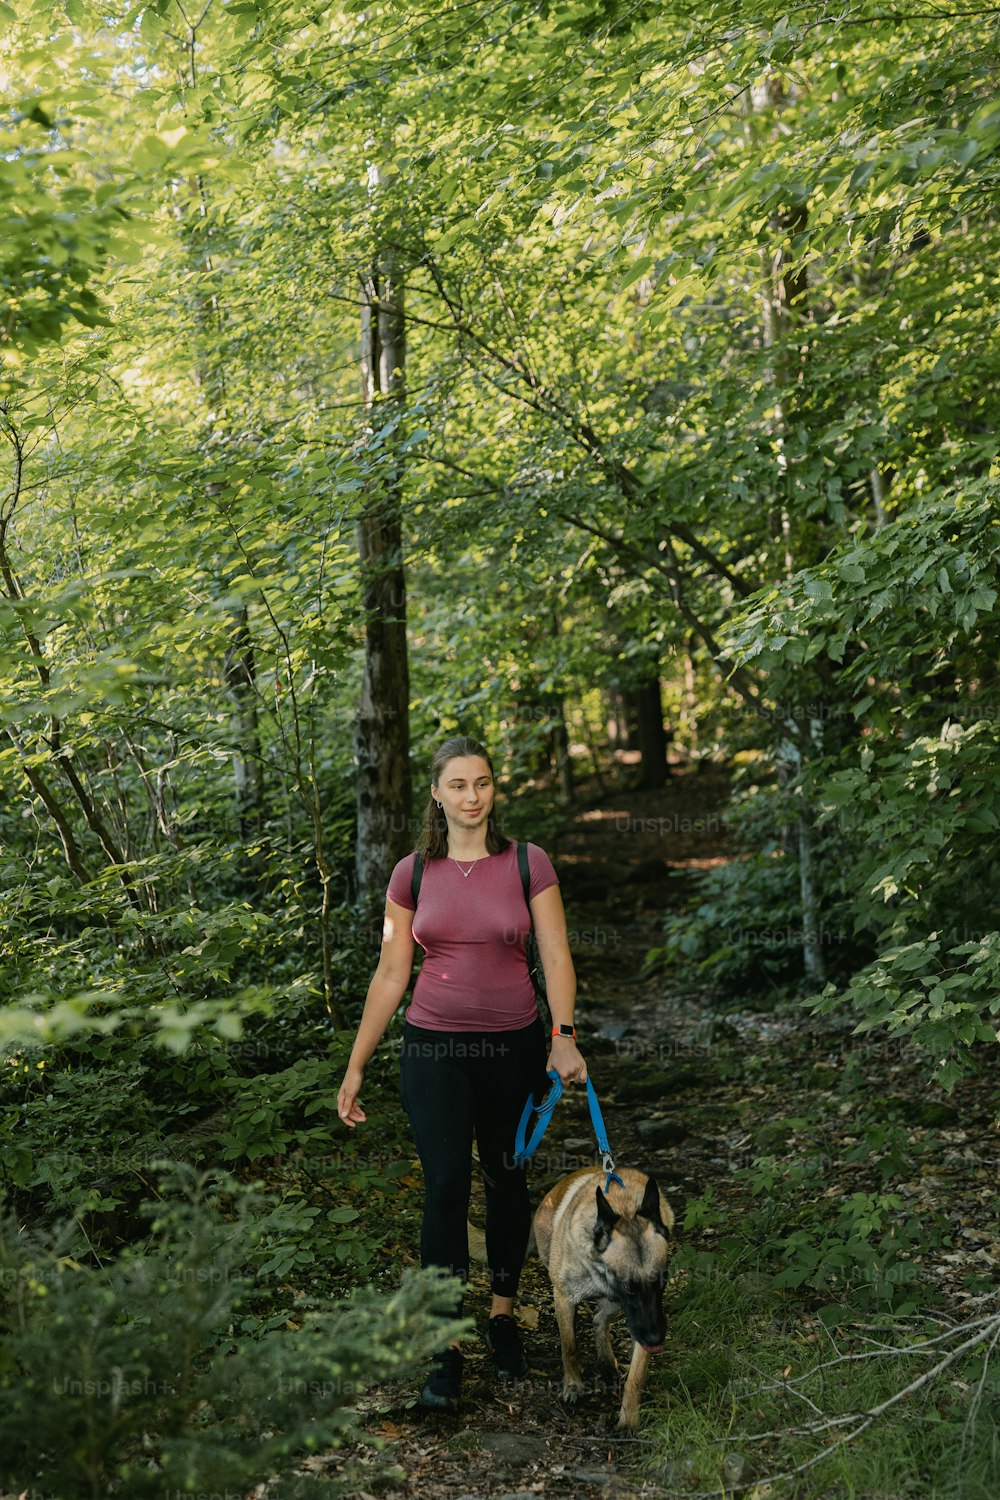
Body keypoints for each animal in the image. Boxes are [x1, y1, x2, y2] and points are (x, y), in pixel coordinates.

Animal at [530, 1158, 671, 1428]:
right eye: (628, 1287)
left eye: (662, 1282)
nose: (656, 1339)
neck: (623, 1206)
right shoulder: (563, 1298)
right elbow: (569, 1347)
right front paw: (574, 1385)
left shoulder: (640, 1319)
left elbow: (636, 1376)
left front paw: (629, 1418)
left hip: (617, 1306)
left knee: (599, 1319)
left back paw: (606, 1360)